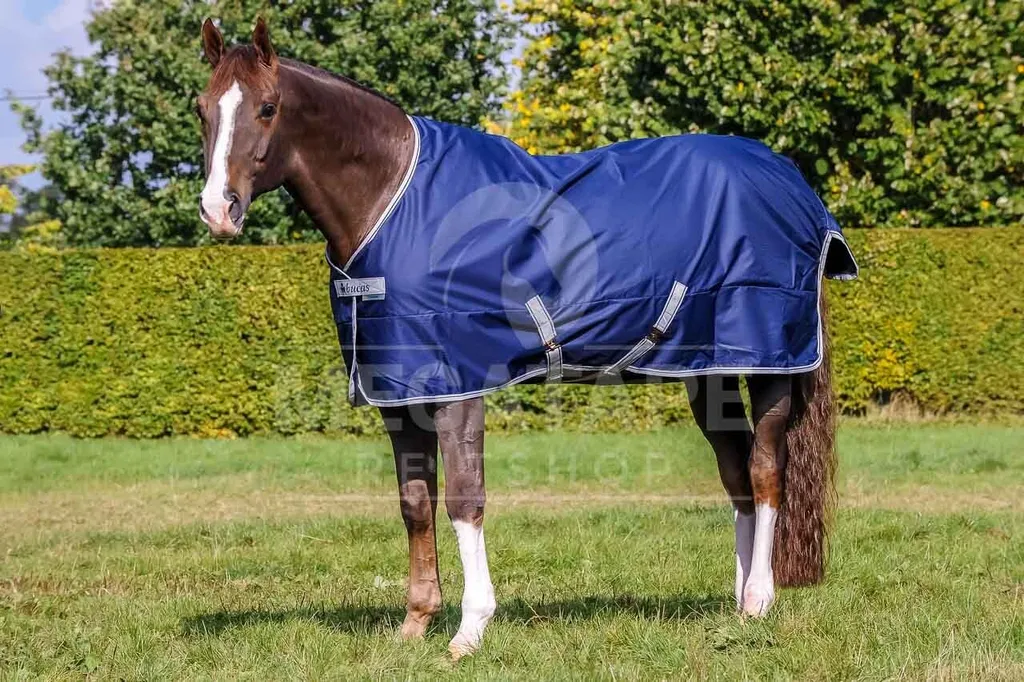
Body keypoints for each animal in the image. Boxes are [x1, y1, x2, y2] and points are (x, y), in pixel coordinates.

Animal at [196, 18, 857, 659]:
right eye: (202, 109)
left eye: (267, 108)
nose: (218, 210)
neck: (393, 200)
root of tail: (795, 185)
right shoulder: (399, 394)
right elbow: (414, 501)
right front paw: (415, 624)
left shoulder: (457, 387)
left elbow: (464, 500)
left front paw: (469, 631)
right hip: (707, 371)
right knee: (736, 473)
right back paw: (738, 603)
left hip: (769, 362)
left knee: (766, 471)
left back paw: (760, 601)